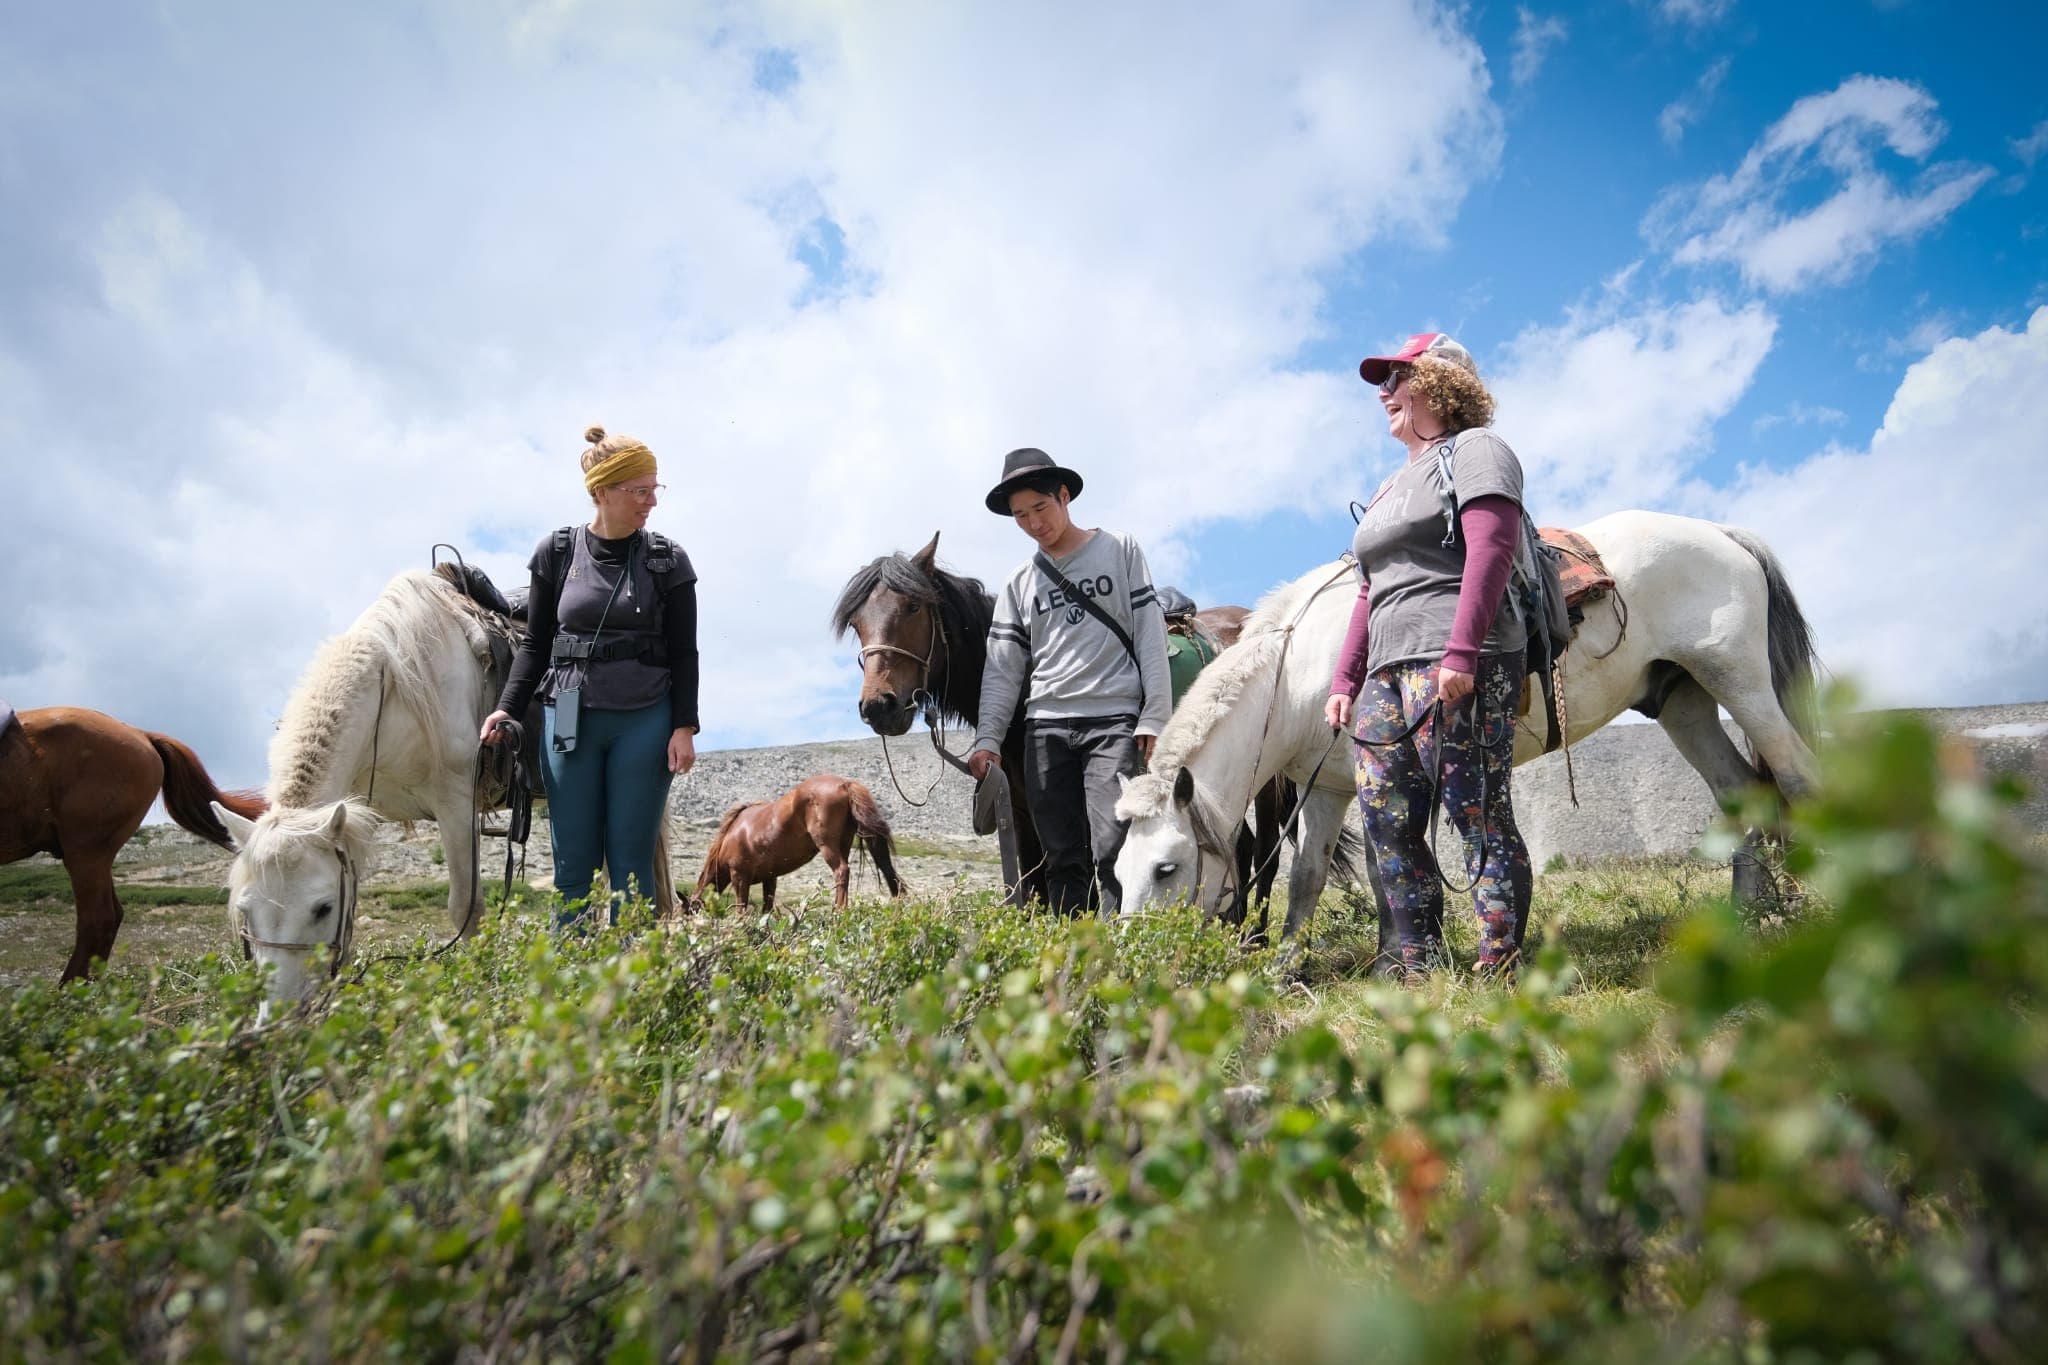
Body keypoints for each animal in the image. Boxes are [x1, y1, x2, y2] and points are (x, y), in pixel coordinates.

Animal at [210, 566, 675, 1007]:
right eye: (244, 911)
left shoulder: (456, 806)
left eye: (321, 907)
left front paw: (479, 986)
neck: (392, 691)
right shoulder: (359, 813)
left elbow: (466, 908)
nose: (280, 1015)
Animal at [695, 775, 905, 912]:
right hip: (844, 844)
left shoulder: (739, 876)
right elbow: (766, 908)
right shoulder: (769, 878)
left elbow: (741, 908)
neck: (732, 834)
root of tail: (845, 784)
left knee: (841, 871)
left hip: (827, 846)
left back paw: (838, 911)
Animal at [831, 532, 1293, 916]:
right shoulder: (1019, 808)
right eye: (856, 624)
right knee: (1236, 846)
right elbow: (1034, 884)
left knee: (1263, 851)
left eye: (912, 607)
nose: (878, 706)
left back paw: (1253, 937)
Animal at [1113, 509, 1821, 949]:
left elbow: (1386, 867)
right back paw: (1746, 916)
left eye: (1168, 868)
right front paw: (1290, 964)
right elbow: (1313, 875)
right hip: (1684, 703)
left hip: (1740, 683)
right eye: (1118, 871)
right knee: (1742, 795)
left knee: (1796, 780)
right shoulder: (1330, 786)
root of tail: (1723, 534)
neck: (1302, 671)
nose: (1138, 956)